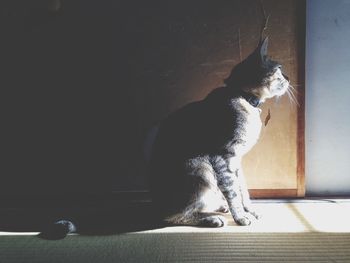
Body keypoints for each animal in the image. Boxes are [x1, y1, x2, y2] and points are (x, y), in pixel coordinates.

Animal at [150, 37, 290, 227]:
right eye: (279, 69)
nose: (289, 78)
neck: (244, 97)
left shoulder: (236, 159)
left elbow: (242, 187)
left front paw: (249, 210)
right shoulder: (223, 156)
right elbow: (233, 191)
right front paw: (240, 216)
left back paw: (218, 207)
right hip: (201, 169)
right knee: (174, 215)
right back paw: (211, 218)